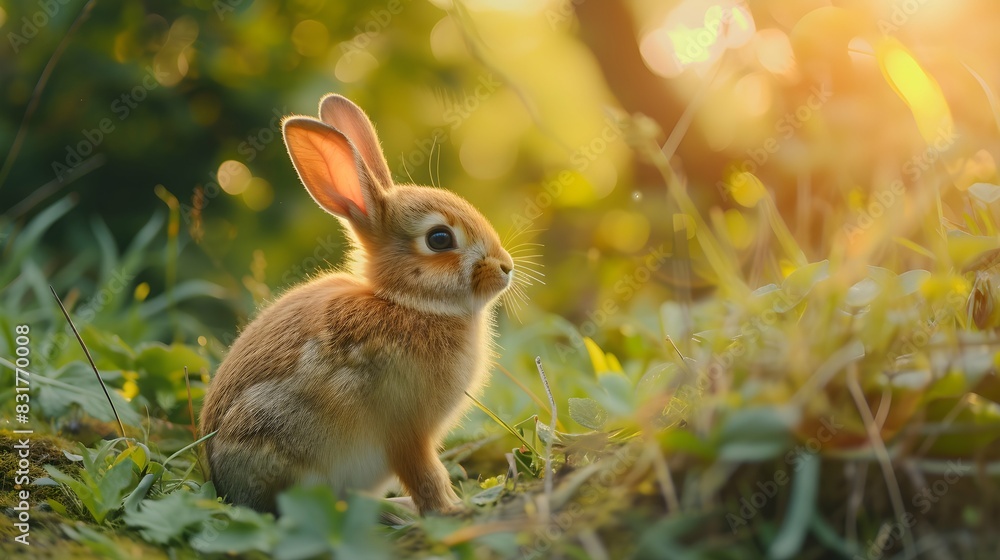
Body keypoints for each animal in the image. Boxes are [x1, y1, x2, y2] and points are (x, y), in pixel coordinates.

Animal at [199, 94, 514, 515]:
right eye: (440, 239)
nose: (506, 267)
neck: (406, 302)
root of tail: (223, 481)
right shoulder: (407, 431)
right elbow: (425, 474)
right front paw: (452, 510)